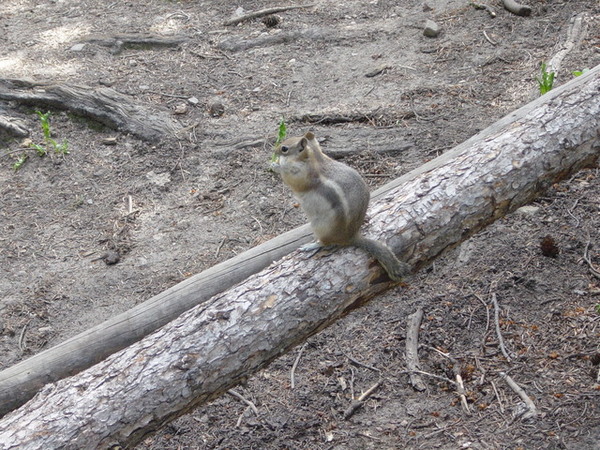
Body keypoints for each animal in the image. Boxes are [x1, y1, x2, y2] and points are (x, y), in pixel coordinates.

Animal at [270, 131, 408, 282]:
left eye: (284, 149)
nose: (274, 150)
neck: (316, 158)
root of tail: (350, 237)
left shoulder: (301, 175)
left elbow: (290, 179)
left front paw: (276, 166)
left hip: (320, 226)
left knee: (325, 243)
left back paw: (310, 246)